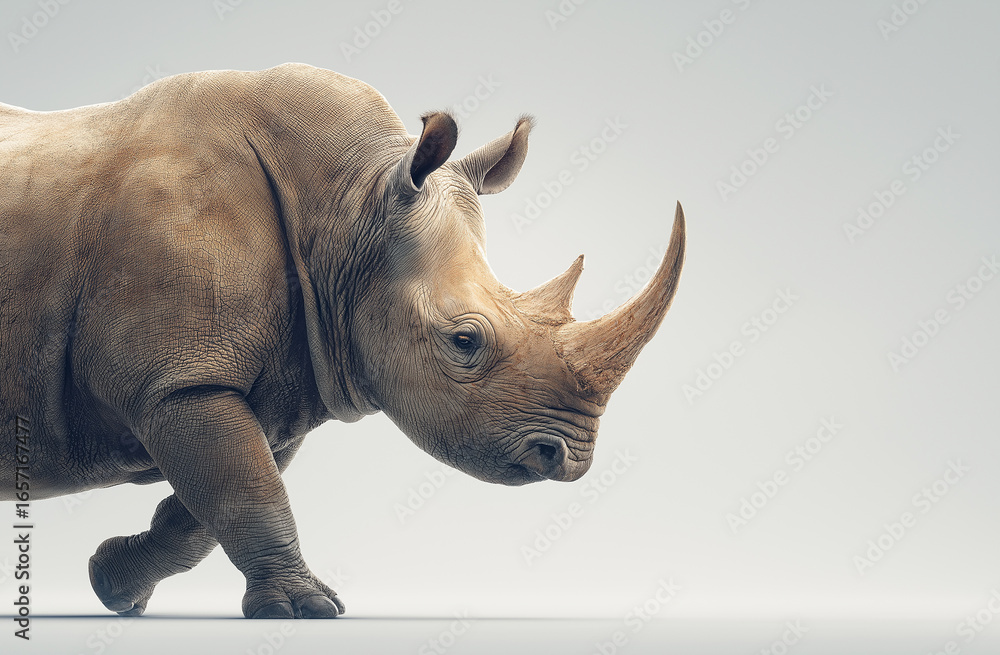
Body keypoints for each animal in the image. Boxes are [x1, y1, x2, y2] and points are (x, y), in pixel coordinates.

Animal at [0, 63, 685, 619]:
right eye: (465, 341)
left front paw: (114, 583)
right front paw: (304, 610)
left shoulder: (257, 383)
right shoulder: (179, 379)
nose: (567, 459)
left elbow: (216, 502)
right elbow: (249, 491)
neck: (349, 205)